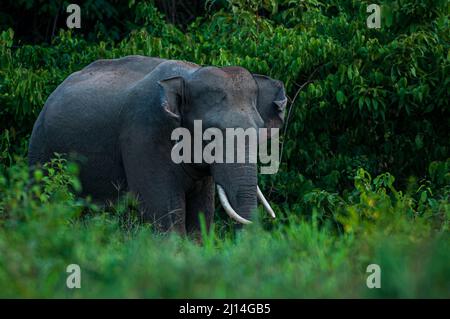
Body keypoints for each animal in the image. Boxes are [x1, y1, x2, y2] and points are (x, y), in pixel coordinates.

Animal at [29, 55, 288, 235]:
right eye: (210, 133)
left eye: (259, 130)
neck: (188, 77)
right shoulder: (144, 135)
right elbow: (165, 214)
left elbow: (201, 213)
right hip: (41, 149)